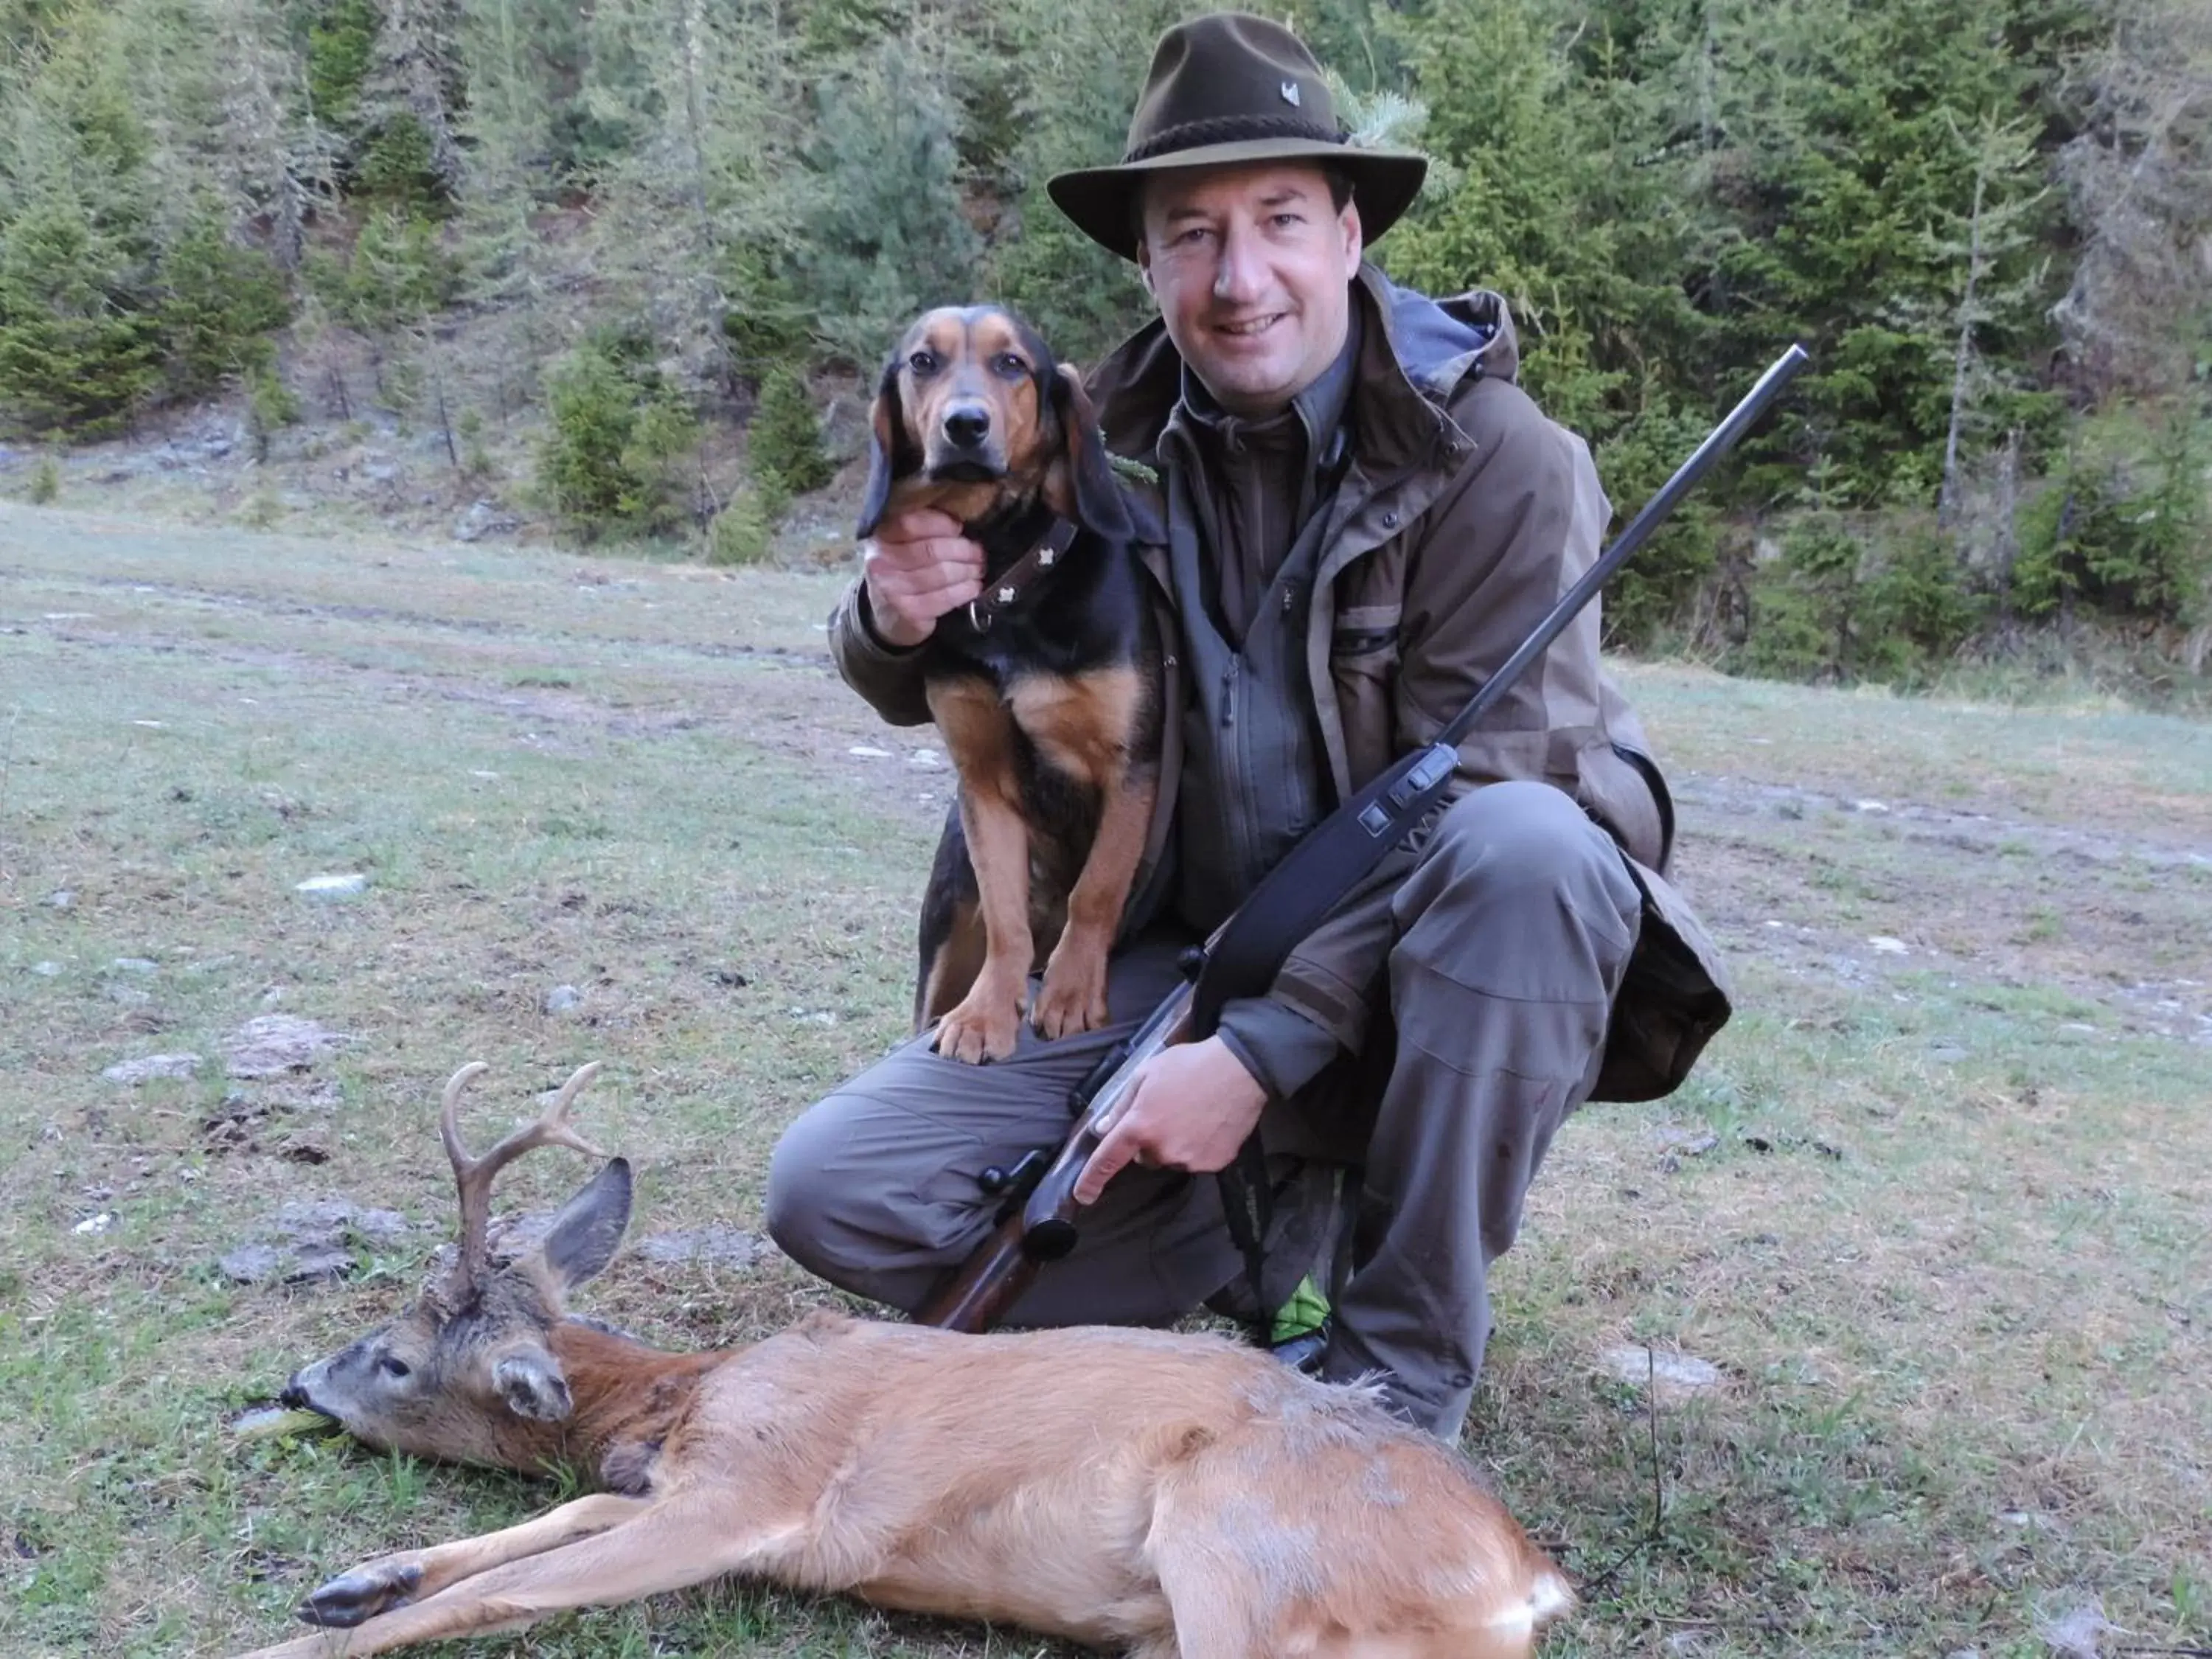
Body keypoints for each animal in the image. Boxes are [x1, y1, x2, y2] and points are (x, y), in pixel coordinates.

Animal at [237, 1066, 1575, 1659]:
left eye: (395, 1357)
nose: (296, 1386)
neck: (686, 1394)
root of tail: (1528, 1574)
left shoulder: (755, 1492)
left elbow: (507, 1587)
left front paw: (296, 1644)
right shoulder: (678, 1486)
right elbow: (552, 1517)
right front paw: (356, 1579)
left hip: (1248, 1558)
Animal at [858, 307, 1177, 1066]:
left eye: (1012, 365)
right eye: (923, 361)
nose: (965, 426)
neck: (1006, 586)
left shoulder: (1134, 765)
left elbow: (1097, 890)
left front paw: (1068, 992)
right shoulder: (984, 782)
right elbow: (1007, 918)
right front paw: (985, 1015)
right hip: (945, 932)